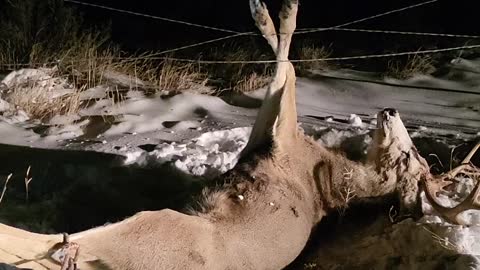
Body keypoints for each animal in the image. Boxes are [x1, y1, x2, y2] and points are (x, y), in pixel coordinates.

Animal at [1, 0, 478, 270]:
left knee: (52, 246)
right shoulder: (262, 141)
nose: (391, 109)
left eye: (409, 155)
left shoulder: (281, 139)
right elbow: (285, 67)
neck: (326, 171)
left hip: (158, 228)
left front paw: (273, 12)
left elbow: (288, 68)